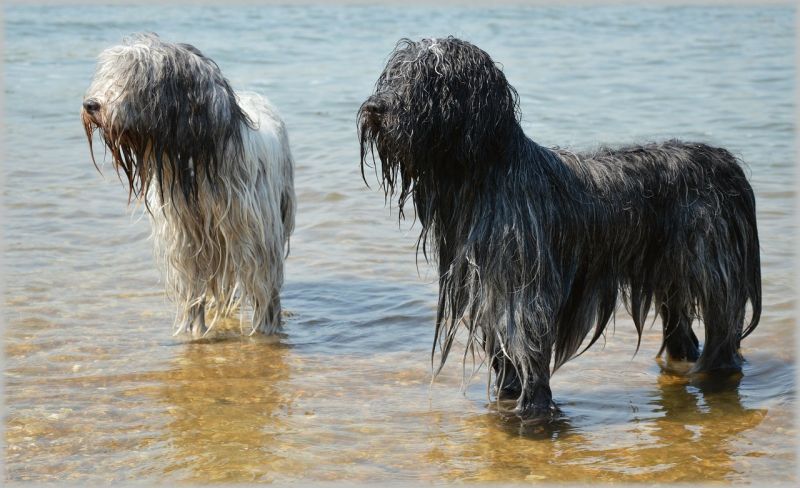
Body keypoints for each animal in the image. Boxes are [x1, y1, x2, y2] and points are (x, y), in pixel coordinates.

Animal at [81, 34, 296, 338]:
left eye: (135, 76)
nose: (91, 104)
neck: (197, 157)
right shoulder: (185, 241)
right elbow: (192, 291)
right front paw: (195, 333)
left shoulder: (256, 239)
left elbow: (263, 291)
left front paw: (265, 335)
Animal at [358, 39, 764, 420]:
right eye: (393, 75)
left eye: (426, 78)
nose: (375, 109)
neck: (486, 174)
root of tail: (725, 161)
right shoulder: (491, 289)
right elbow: (506, 354)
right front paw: (510, 398)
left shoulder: (524, 289)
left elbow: (528, 347)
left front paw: (531, 413)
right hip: (671, 277)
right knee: (682, 332)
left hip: (713, 268)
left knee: (723, 337)